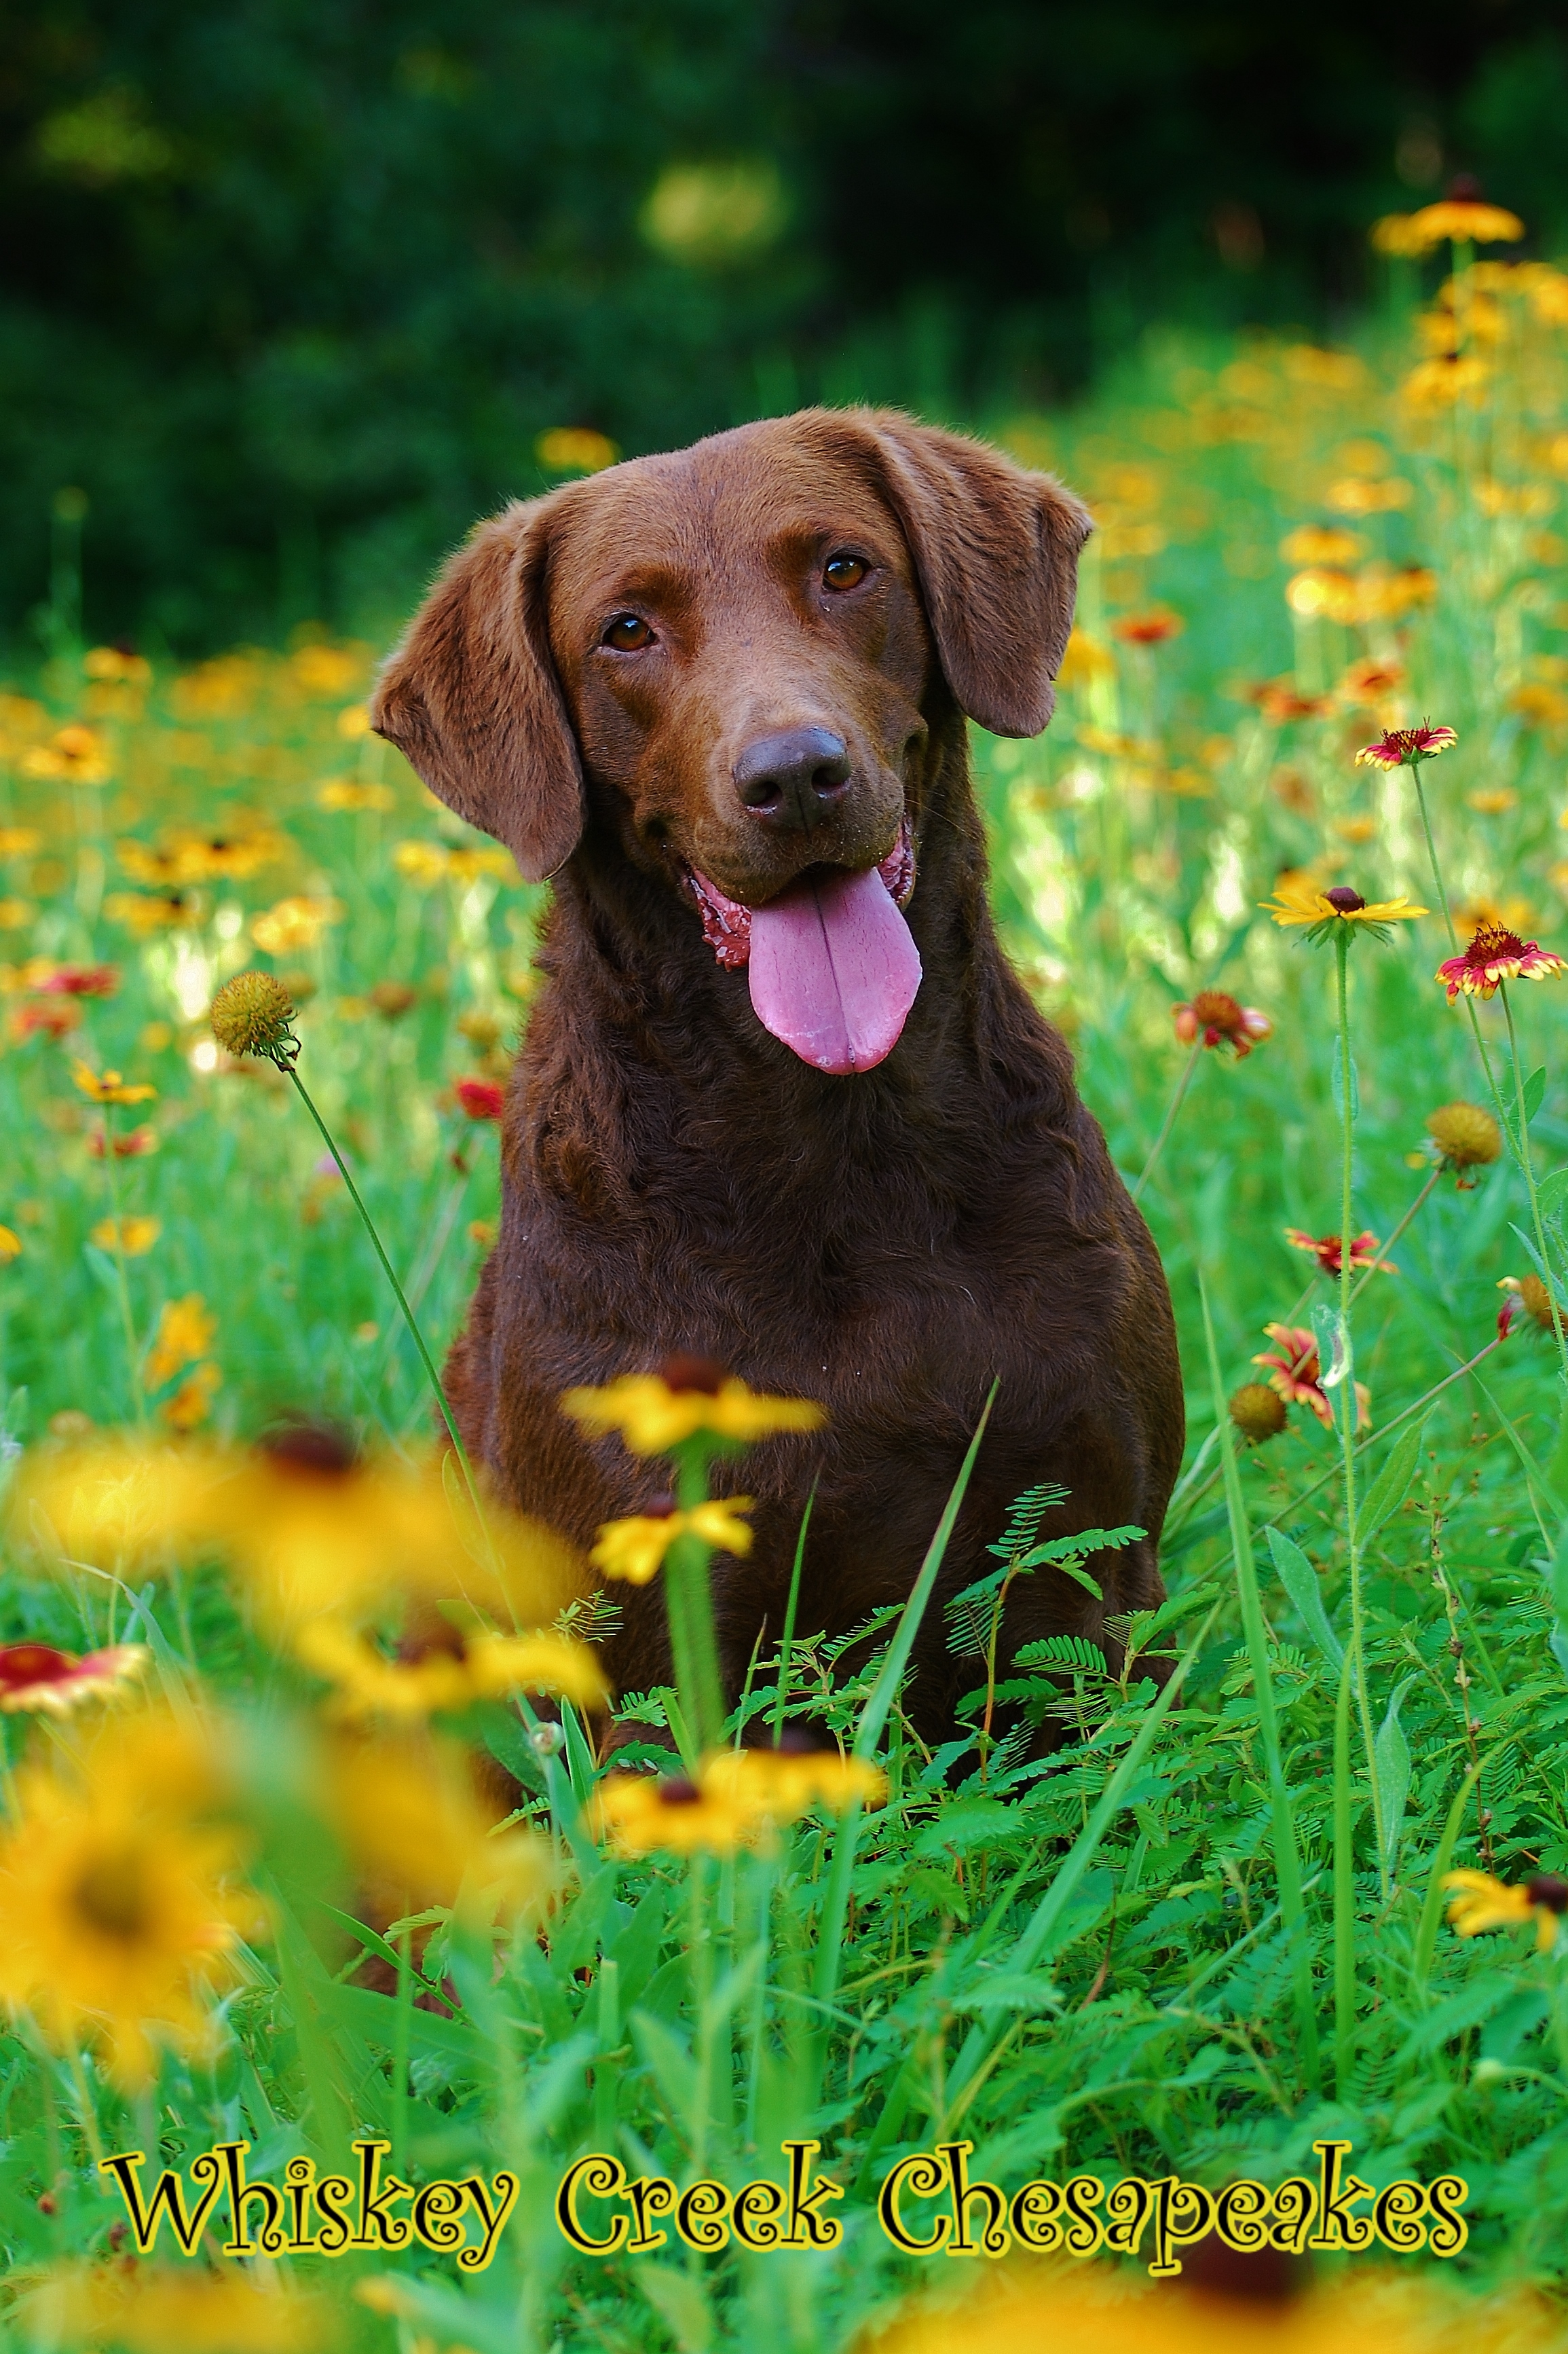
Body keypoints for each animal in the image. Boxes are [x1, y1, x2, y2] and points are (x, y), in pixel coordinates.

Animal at [369, 405, 1172, 1742]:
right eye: (625, 630)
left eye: (843, 568)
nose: (794, 774)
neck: (840, 1136)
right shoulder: (657, 1643)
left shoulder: (1092, 1551)